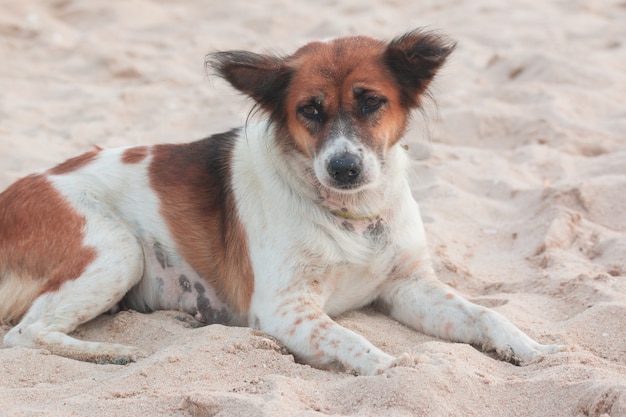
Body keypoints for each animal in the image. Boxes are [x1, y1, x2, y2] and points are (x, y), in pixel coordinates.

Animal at [0, 30, 560, 374]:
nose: (344, 167)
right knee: (26, 333)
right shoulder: (284, 308)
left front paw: (530, 347)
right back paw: (113, 351)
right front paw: (390, 370)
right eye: (309, 110)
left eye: (371, 102)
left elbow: (485, 315)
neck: (352, 216)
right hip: (117, 250)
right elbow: (355, 342)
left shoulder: (408, 285)